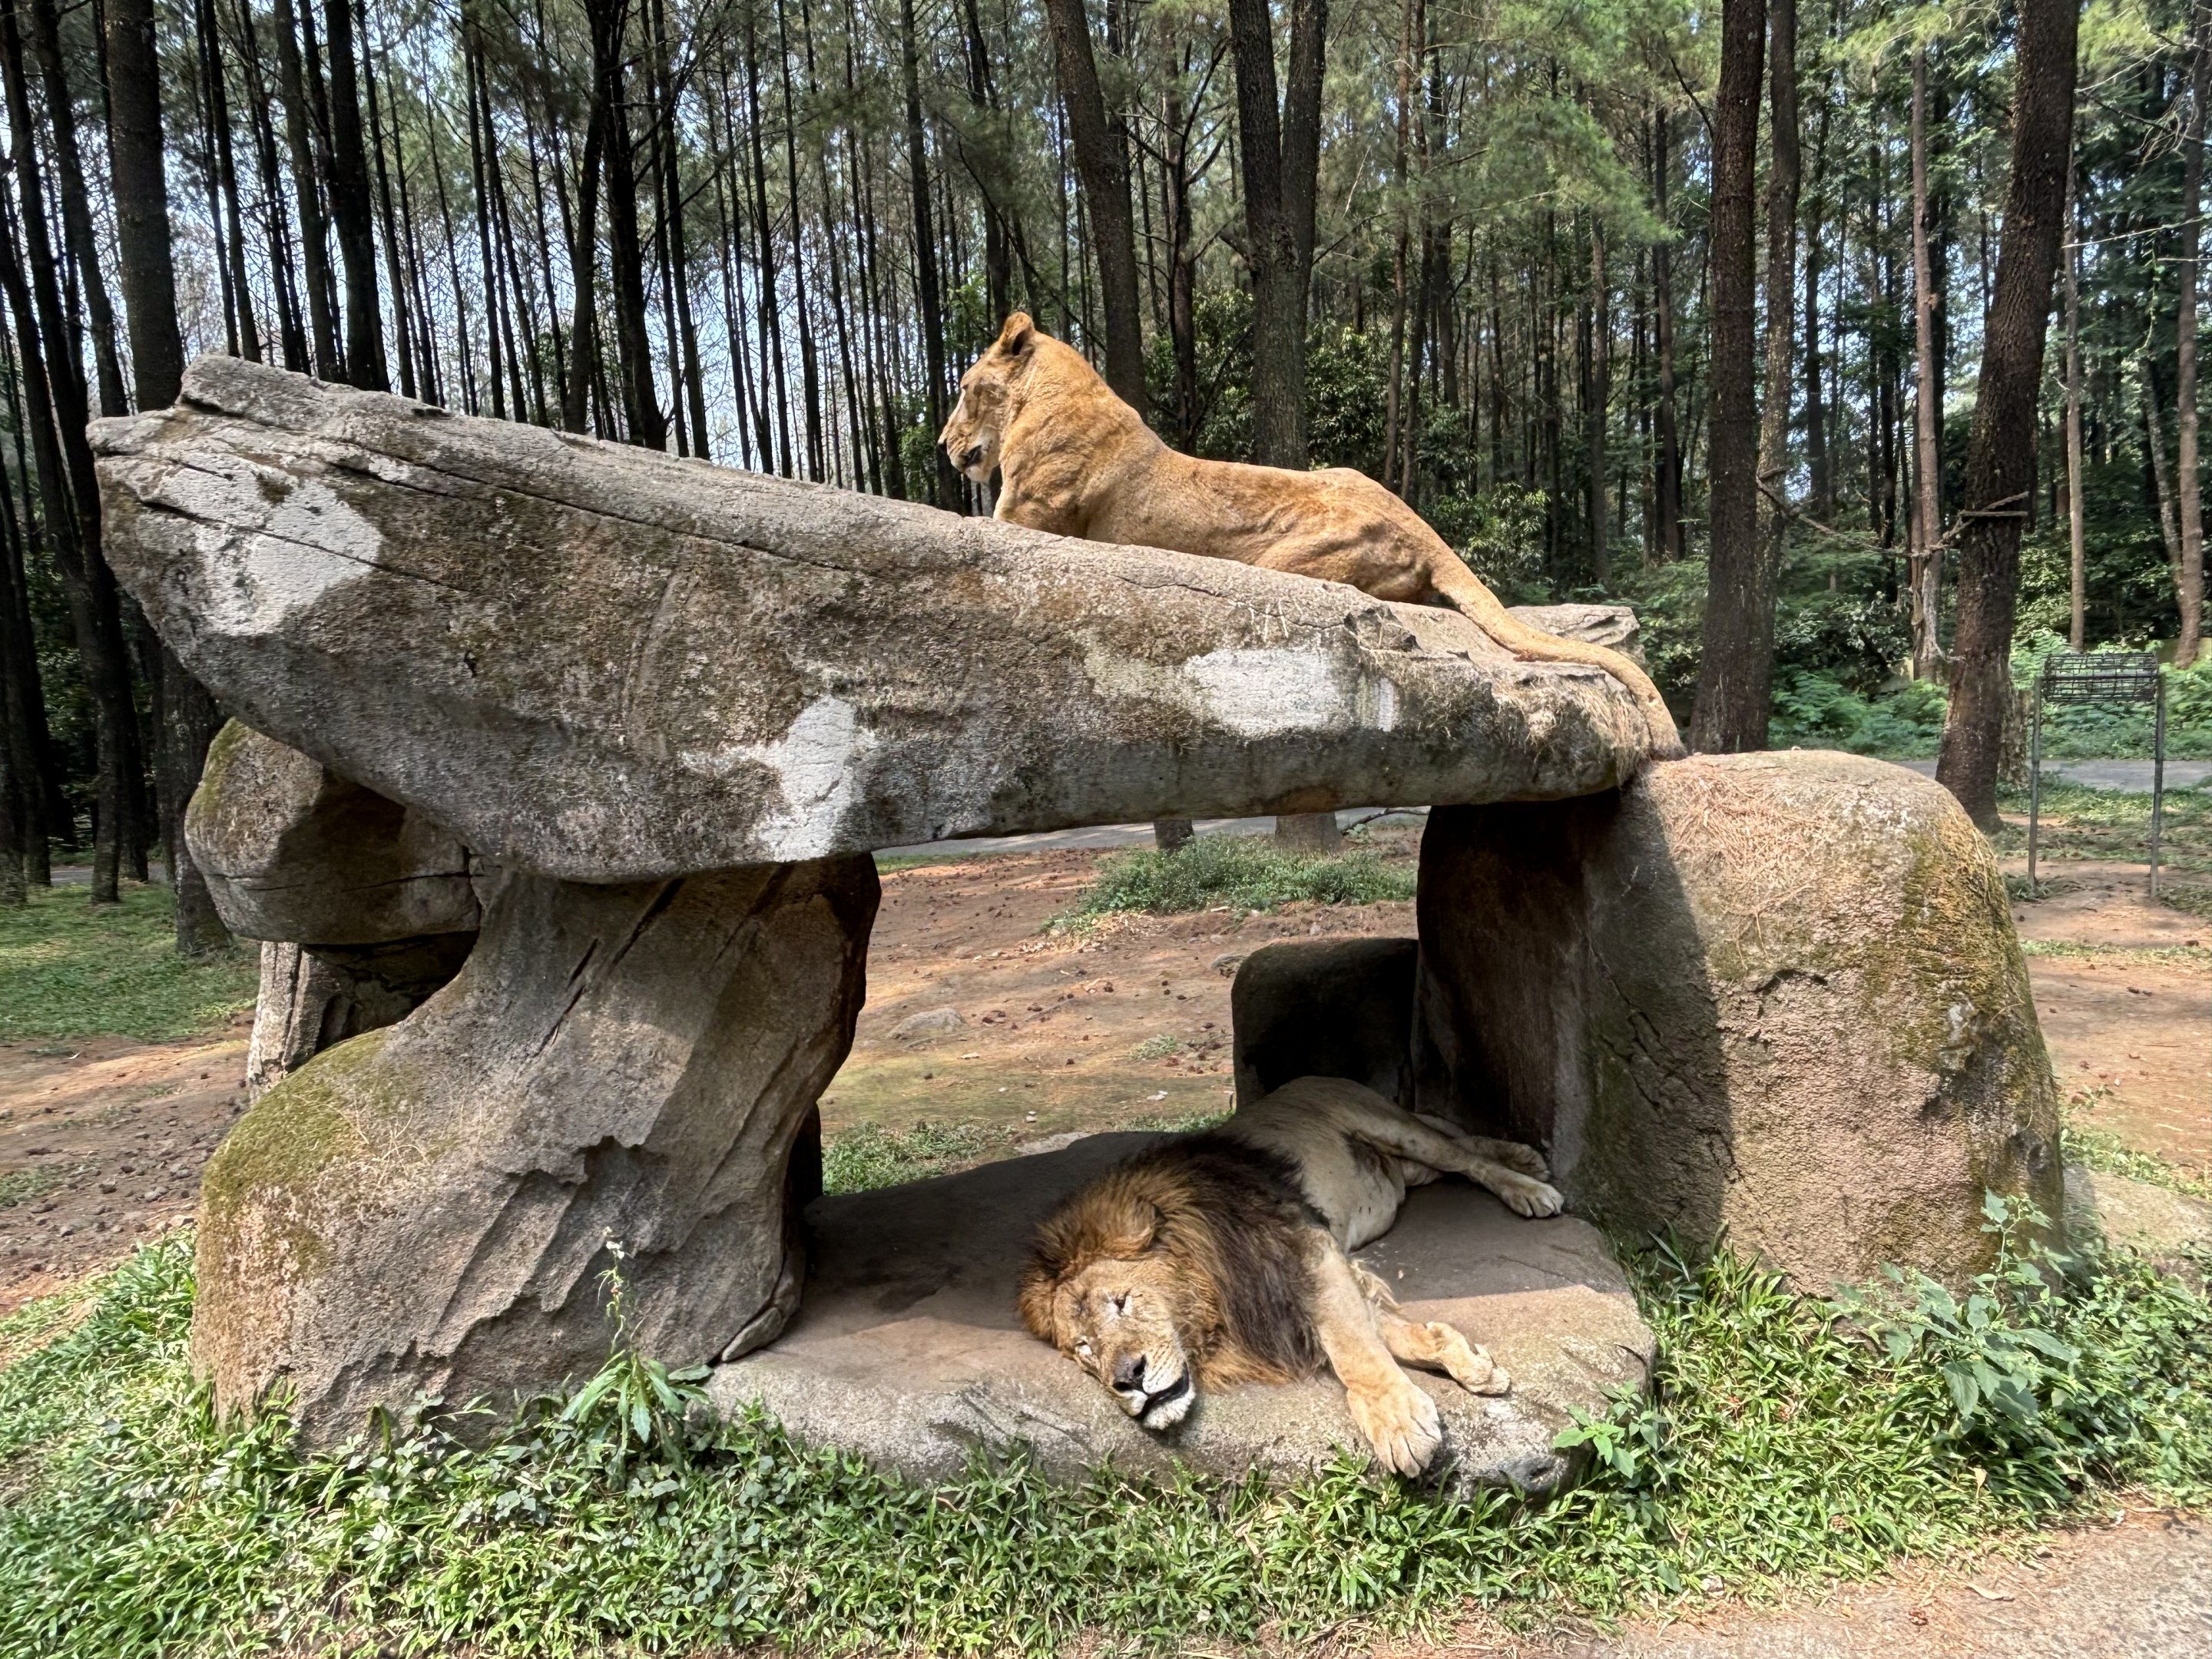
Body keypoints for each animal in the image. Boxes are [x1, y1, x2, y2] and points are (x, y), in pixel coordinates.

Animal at [940, 312, 1684, 758]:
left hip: (1289, 558)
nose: (946, 445)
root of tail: (1419, 522)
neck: (1045, 399)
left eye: (968, 386)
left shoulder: (1025, 517)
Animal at [1017, 1074, 1563, 1477]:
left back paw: (1528, 1185)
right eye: (1083, 1348)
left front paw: (1399, 1423)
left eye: (1123, 1301)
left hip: (1390, 1126)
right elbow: (1380, 1331)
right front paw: (1463, 1359)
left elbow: (1352, 1347)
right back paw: (1523, 1156)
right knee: (1459, 1145)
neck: (1210, 1295)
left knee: (1462, 1155)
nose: (1128, 1378)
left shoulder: (1304, 1249)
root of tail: (1312, 1076)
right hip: (1406, 1169)